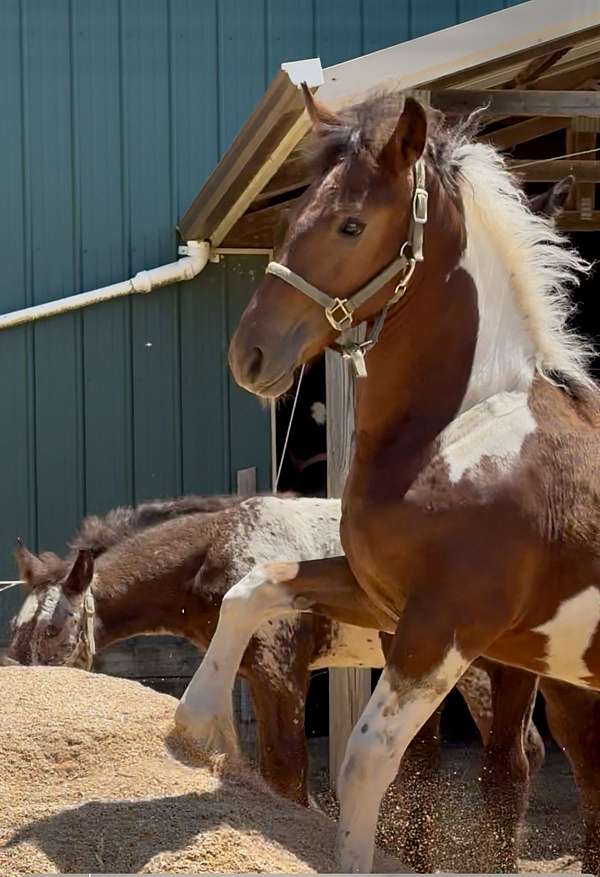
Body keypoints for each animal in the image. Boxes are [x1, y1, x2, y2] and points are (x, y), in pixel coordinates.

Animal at [8, 491, 544, 871]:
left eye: (53, 630)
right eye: (15, 629)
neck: (220, 546)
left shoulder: (279, 672)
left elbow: (286, 771)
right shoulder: (244, 674)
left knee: (512, 768)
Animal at [189, 87, 600, 875]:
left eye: (352, 224)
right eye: (292, 215)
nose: (249, 354)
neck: (463, 432)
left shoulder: (445, 626)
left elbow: (367, 763)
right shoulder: (379, 596)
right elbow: (253, 586)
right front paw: (195, 731)